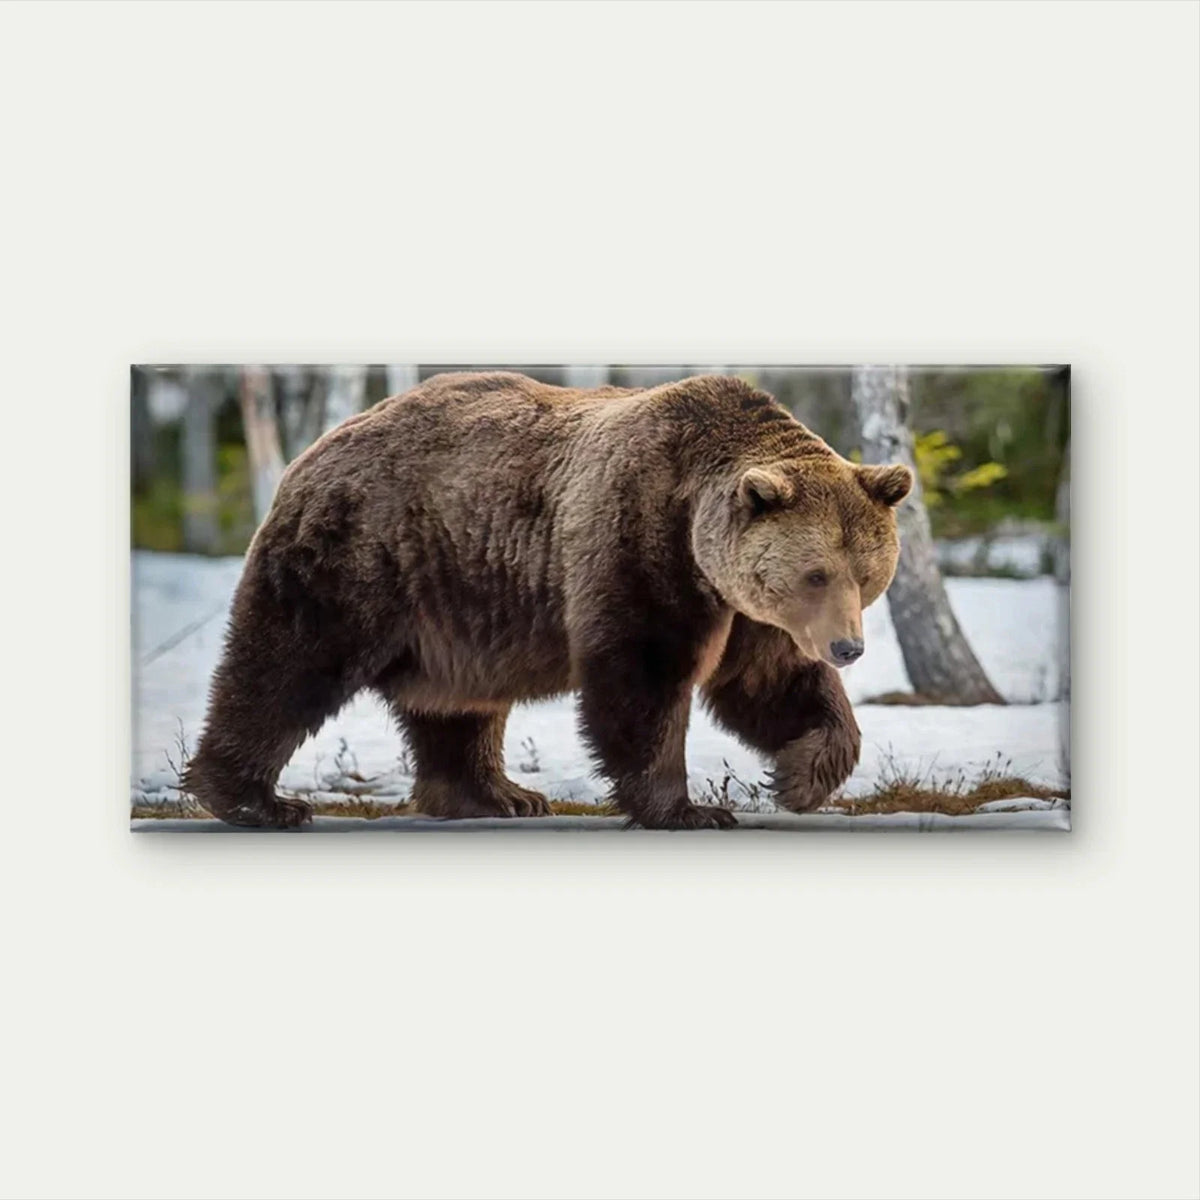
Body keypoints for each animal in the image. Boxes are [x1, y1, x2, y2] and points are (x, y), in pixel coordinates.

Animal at [183, 371, 912, 830]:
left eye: (867, 572)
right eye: (815, 573)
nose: (848, 647)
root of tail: (314, 450)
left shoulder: (746, 611)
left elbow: (772, 685)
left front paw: (798, 777)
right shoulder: (638, 542)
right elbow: (642, 679)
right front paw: (689, 809)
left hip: (455, 603)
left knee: (456, 706)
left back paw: (497, 795)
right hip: (361, 558)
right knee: (288, 666)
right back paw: (255, 800)